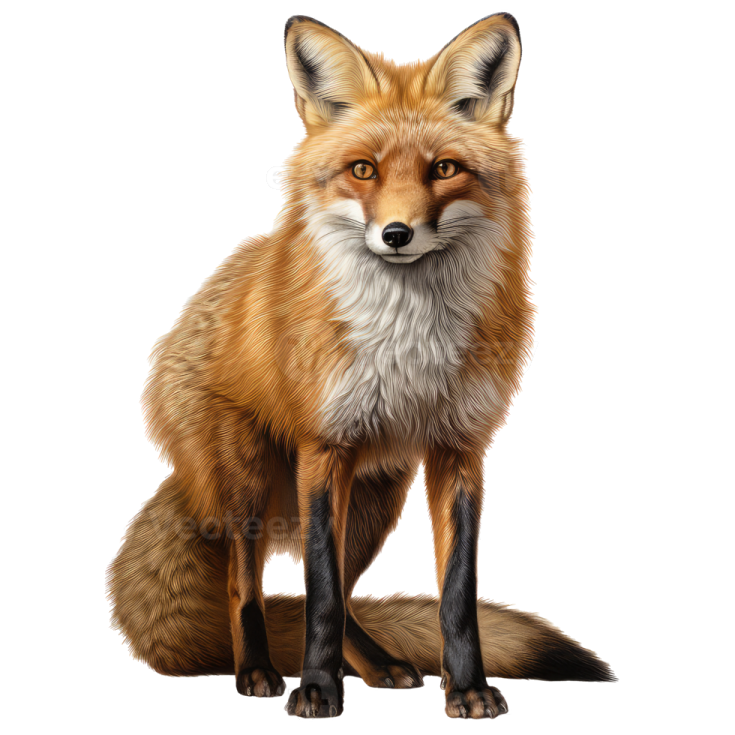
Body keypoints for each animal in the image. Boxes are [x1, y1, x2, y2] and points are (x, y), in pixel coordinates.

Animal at [106, 11, 616, 722]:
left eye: (445, 169)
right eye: (363, 170)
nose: (396, 234)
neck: (409, 343)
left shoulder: (458, 448)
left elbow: (454, 595)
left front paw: (467, 689)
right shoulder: (326, 448)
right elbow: (316, 593)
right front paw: (316, 692)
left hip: (379, 497)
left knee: (339, 594)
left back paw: (382, 667)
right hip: (250, 485)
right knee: (250, 584)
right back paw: (260, 670)